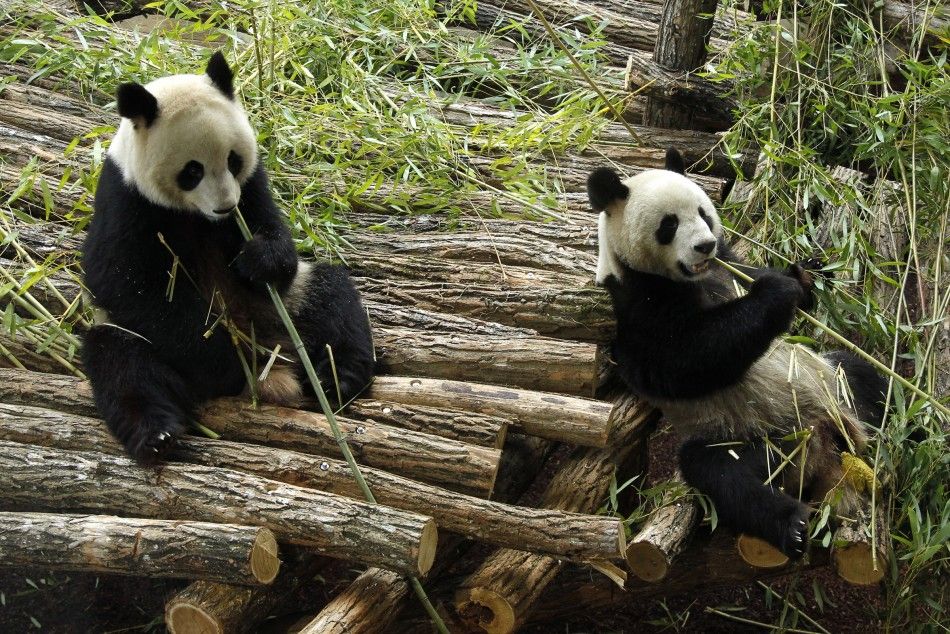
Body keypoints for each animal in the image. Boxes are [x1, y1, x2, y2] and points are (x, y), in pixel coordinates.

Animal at [82, 51, 376, 462]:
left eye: (233, 160)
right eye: (192, 171)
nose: (225, 206)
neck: (196, 215)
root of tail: (274, 357)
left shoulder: (251, 185)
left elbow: (273, 233)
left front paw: (259, 259)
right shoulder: (125, 198)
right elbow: (120, 279)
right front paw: (223, 360)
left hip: (286, 307)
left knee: (334, 297)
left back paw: (338, 378)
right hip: (132, 336)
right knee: (122, 365)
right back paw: (158, 435)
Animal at [592, 151, 888, 556]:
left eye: (702, 213)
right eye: (669, 225)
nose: (704, 246)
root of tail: (821, 449)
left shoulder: (730, 264)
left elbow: (756, 274)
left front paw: (805, 274)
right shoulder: (638, 305)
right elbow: (686, 359)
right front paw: (778, 292)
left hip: (836, 387)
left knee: (862, 374)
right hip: (756, 439)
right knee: (720, 473)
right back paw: (792, 526)